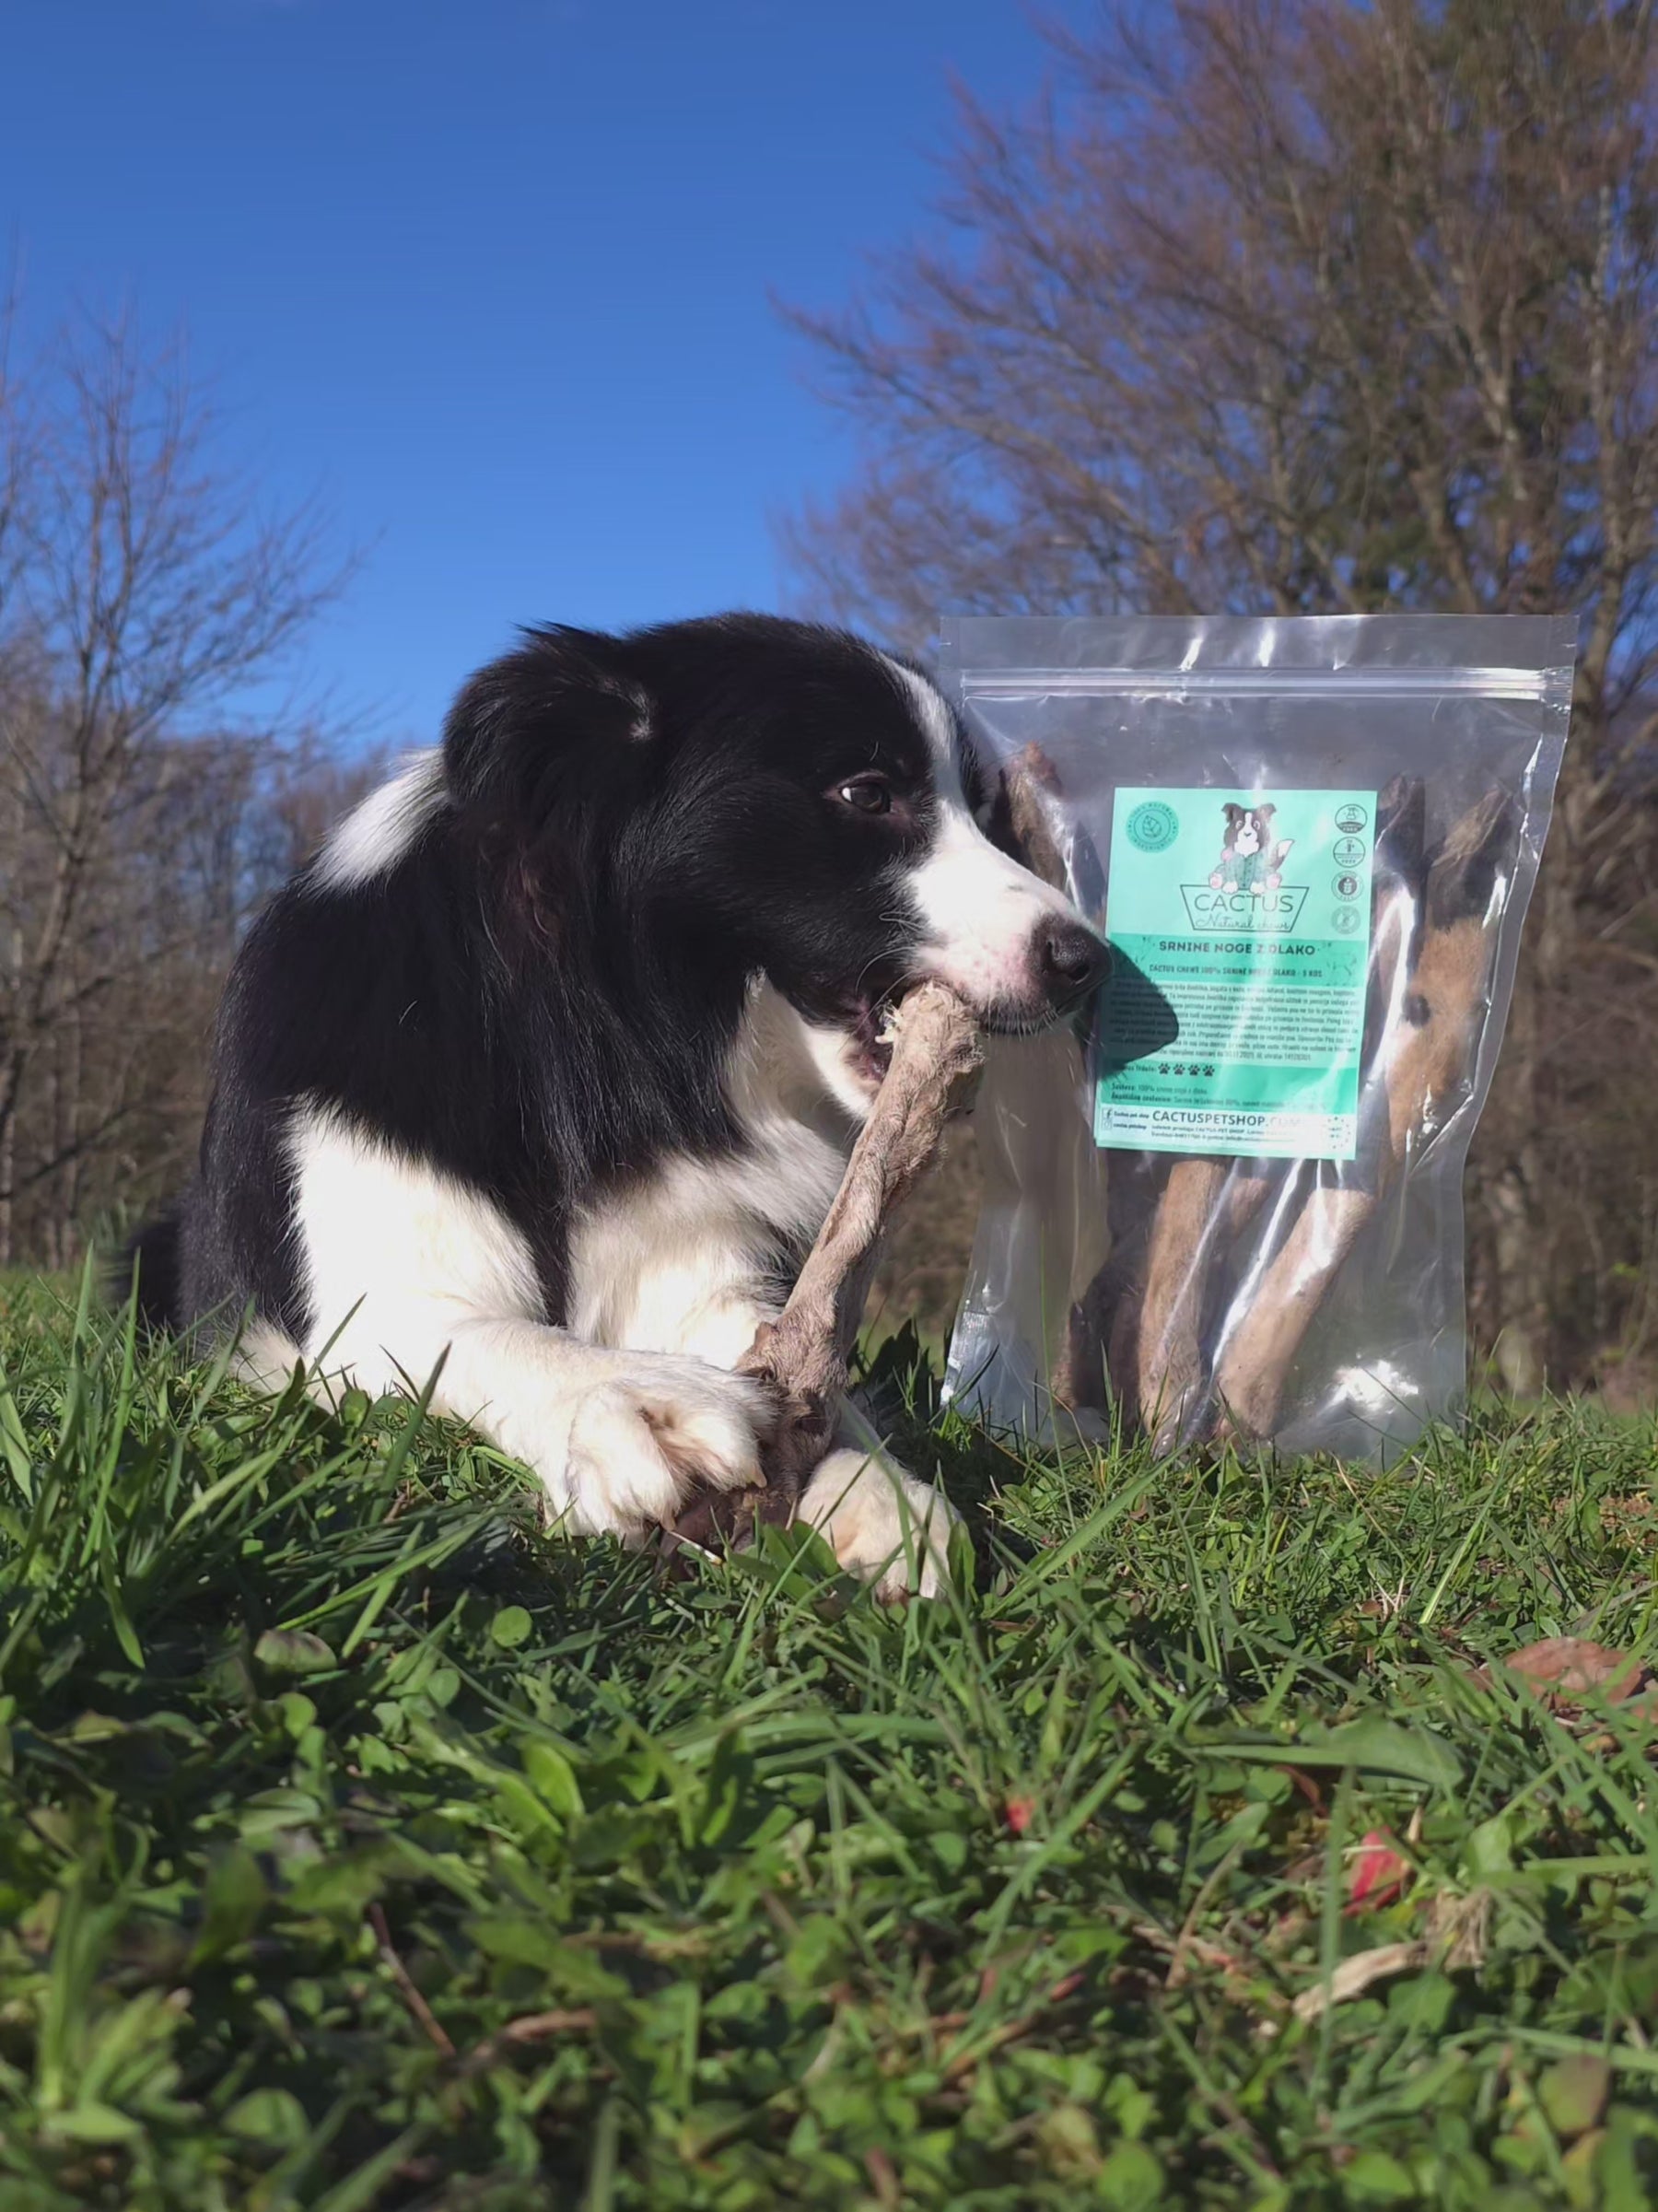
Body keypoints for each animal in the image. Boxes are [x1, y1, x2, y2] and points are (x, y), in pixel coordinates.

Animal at [128, 616, 1107, 1597]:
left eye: (985, 814)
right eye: (867, 792)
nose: (1086, 961)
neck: (607, 1051)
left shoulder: (691, 1234)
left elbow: (785, 1361)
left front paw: (876, 1490)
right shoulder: (345, 1295)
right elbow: (468, 1333)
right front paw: (636, 1403)